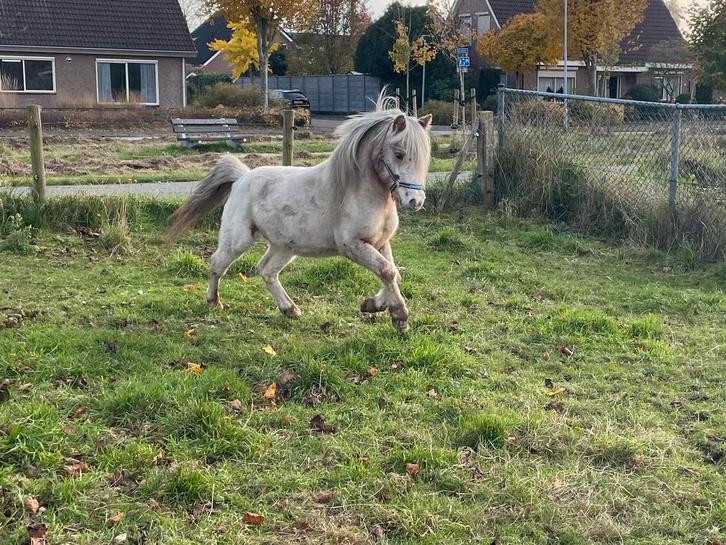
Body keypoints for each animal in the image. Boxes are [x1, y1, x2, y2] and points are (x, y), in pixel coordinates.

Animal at [167, 99, 433, 332]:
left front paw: (372, 305)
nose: (415, 201)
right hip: (239, 239)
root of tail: (242, 177)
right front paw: (399, 317)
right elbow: (388, 272)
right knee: (217, 263)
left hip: (285, 247)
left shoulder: (380, 243)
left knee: (266, 270)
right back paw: (214, 302)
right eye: (399, 154)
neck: (359, 190)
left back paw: (290, 309)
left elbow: (393, 274)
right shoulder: (353, 245)